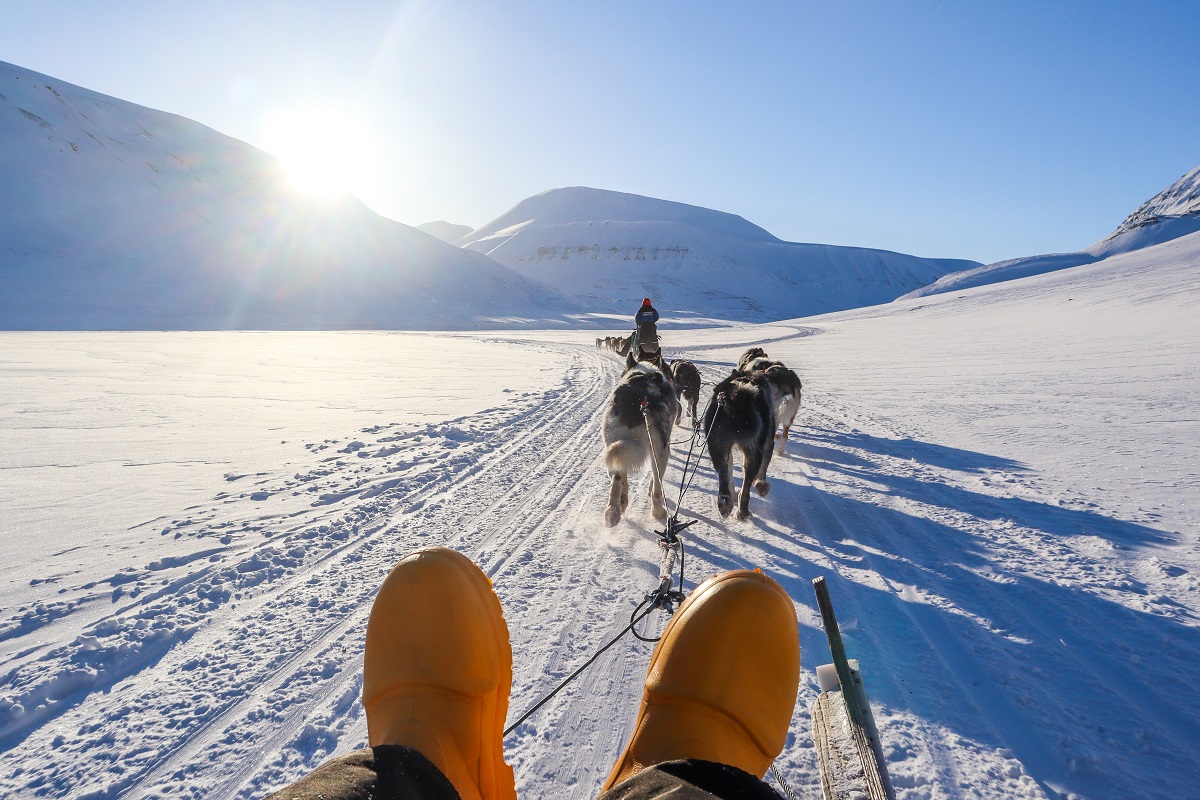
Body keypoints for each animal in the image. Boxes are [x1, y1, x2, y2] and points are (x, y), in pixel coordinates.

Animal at [604, 352, 681, 527]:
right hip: (660, 451)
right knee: (657, 488)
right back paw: (659, 512)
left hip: (612, 446)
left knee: (617, 480)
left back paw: (614, 511)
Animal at [700, 369, 772, 520]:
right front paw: (762, 486)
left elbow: (729, 471)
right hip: (753, 452)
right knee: (746, 487)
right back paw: (743, 512)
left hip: (717, 445)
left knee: (723, 472)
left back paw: (725, 502)